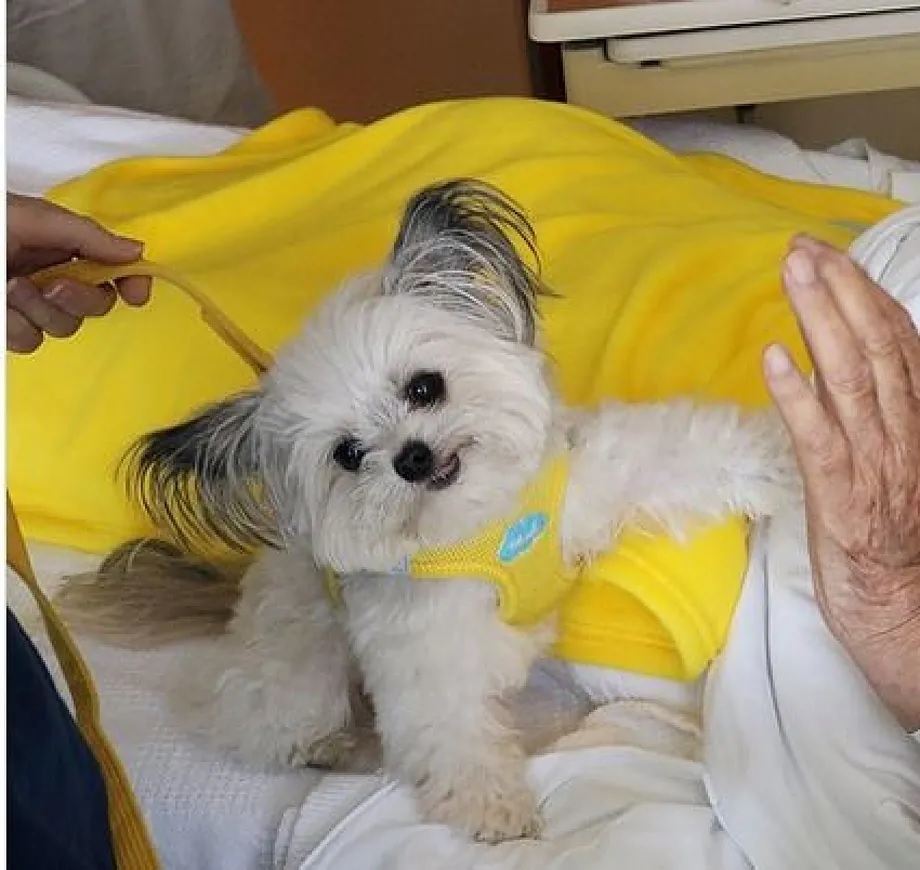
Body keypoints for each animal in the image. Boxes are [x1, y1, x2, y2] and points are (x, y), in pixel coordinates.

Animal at [63, 182, 796, 844]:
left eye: (424, 387)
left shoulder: (588, 481)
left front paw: (781, 457)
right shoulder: (427, 651)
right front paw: (493, 806)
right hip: (297, 668)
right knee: (263, 719)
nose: (412, 457)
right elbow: (452, 729)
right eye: (348, 454)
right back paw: (331, 745)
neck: (485, 526)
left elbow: (680, 446)